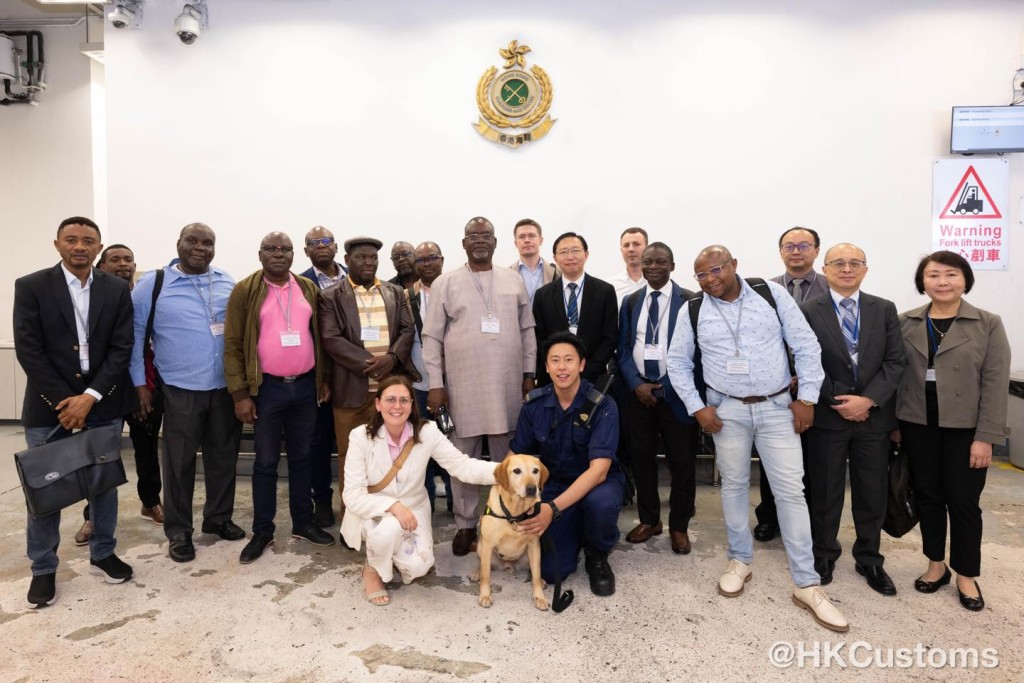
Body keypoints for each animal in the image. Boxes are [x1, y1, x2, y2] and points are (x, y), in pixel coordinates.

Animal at [473, 454, 552, 610]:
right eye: (516, 471)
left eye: (535, 471)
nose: (532, 488)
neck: (515, 514)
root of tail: (508, 566)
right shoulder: (487, 545)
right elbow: (486, 575)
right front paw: (485, 595)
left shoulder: (534, 545)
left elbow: (536, 574)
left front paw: (539, 597)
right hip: (481, 548)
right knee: (483, 566)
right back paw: (476, 573)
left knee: (533, 571)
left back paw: (541, 580)